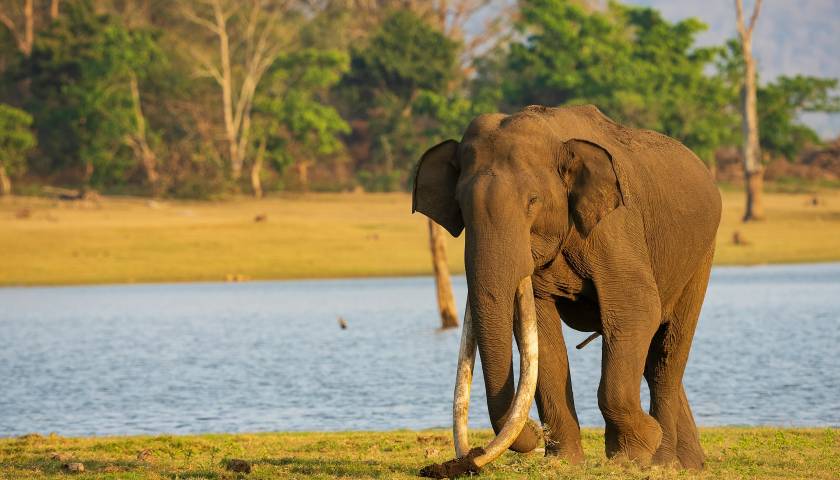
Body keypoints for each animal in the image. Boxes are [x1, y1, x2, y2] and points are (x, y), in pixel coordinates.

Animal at [413, 104, 720, 476]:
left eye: (532, 201)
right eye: (460, 205)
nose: (467, 459)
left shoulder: (615, 227)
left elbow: (636, 309)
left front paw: (633, 454)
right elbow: (540, 335)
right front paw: (564, 461)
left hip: (701, 253)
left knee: (667, 353)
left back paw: (664, 461)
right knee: (651, 359)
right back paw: (690, 464)